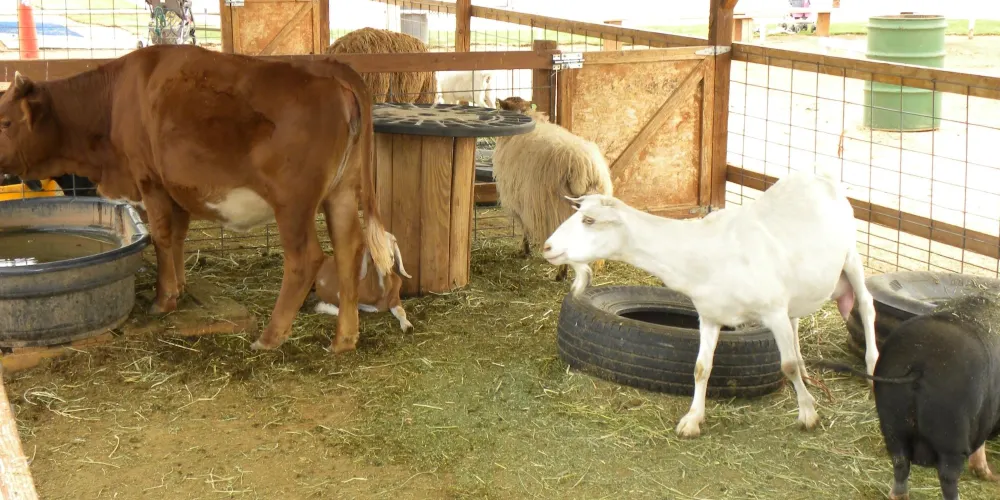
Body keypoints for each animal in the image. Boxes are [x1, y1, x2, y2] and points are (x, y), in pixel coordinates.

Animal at [492, 96, 613, 281]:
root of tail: (586, 166)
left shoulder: (519, 201)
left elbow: (524, 229)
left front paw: (525, 251)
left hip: (557, 209)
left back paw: (561, 274)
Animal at [541, 169, 880, 438]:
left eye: (588, 220)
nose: (547, 247)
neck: (704, 252)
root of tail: (819, 173)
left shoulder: (772, 310)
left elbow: (787, 365)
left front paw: (808, 413)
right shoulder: (710, 315)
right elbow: (701, 368)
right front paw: (692, 420)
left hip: (851, 256)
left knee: (866, 305)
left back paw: (872, 366)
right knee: (798, 320)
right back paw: (810, 374)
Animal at [814, 292, 1000, 500]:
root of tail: (920, 364)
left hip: (891, 419)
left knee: (900, 461)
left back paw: (899, 495)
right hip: (952, 430)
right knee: (947, 476)